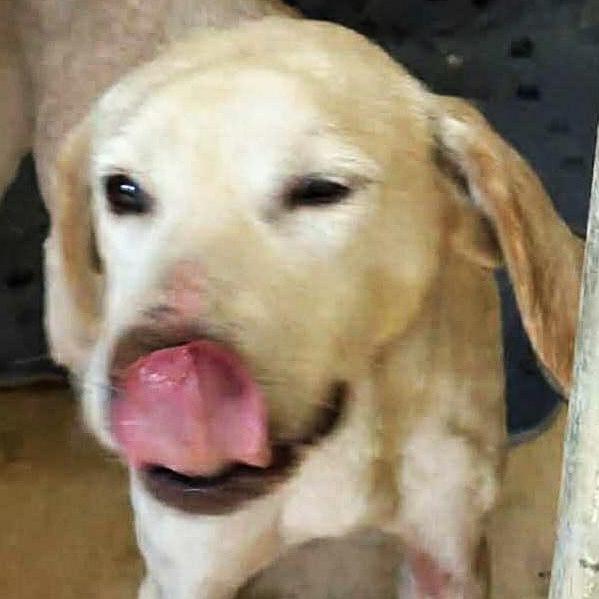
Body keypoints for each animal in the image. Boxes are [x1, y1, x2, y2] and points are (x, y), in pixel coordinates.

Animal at [2, 1, 584, 597]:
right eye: (122, 190)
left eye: (321, 190)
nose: (166, 376)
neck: (343, 446)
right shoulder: (187, 575)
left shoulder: (447, 554)